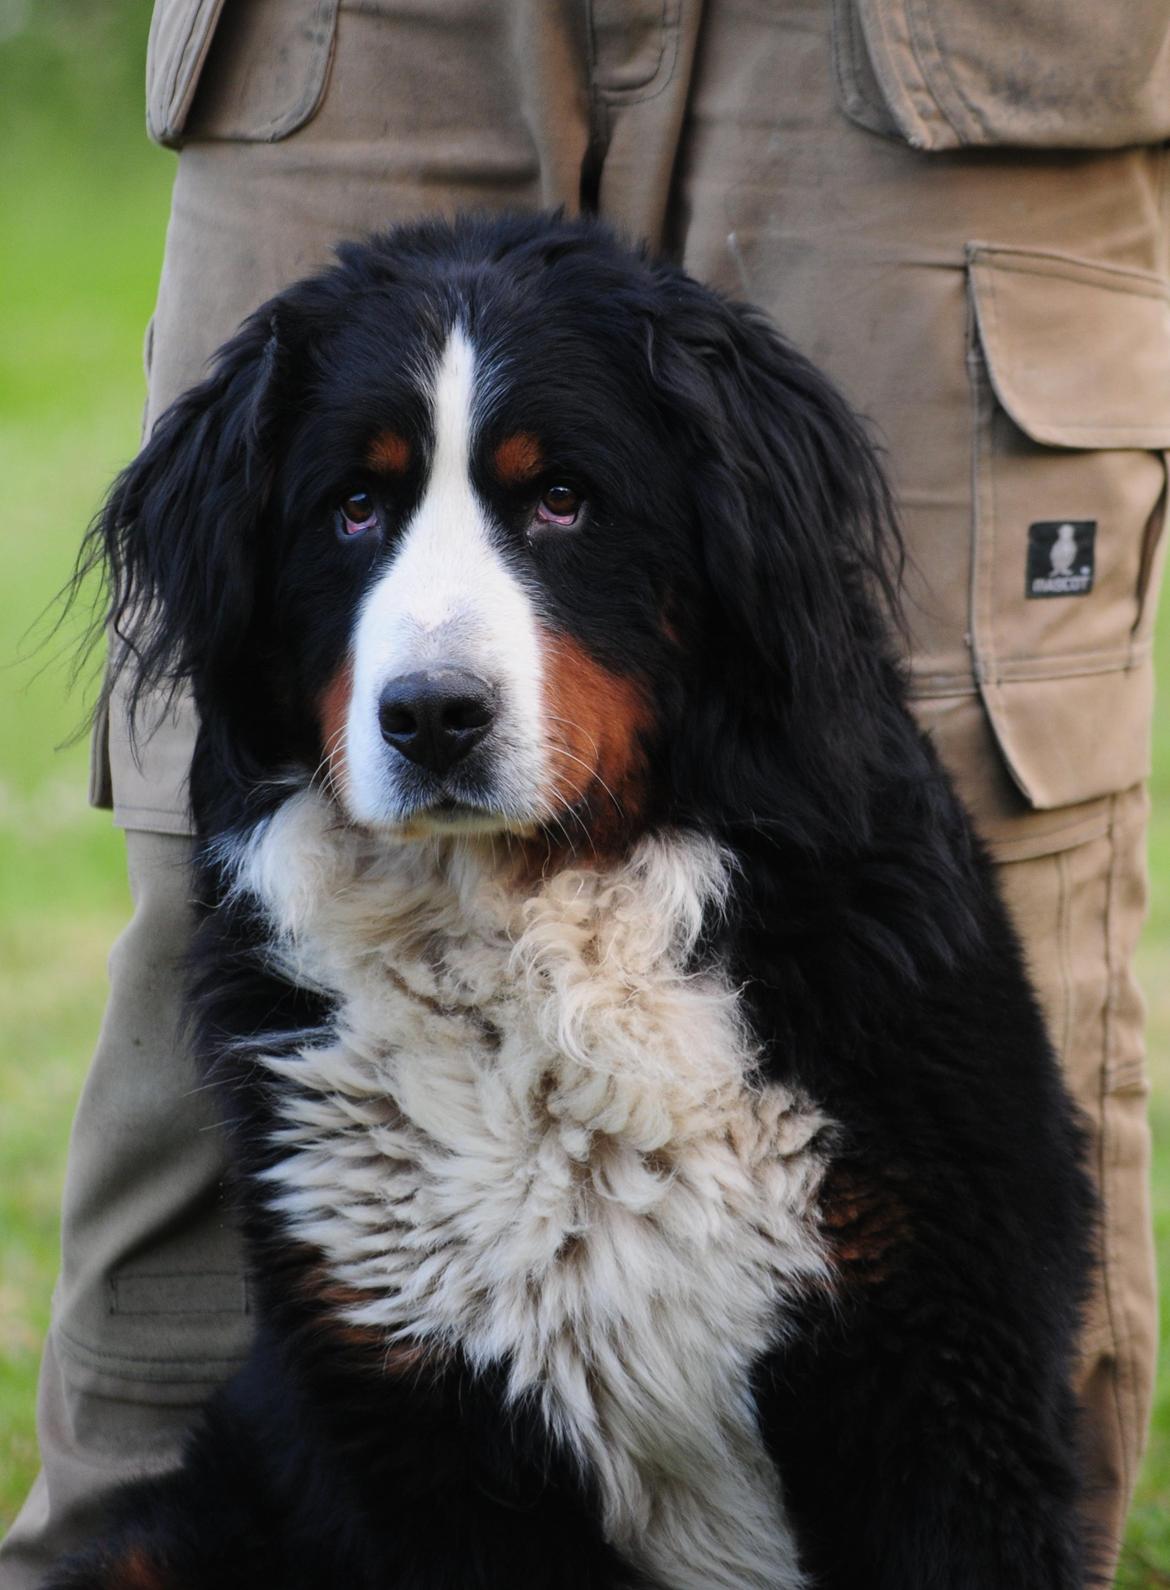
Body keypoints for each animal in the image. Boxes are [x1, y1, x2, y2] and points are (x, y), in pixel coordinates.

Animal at [50, 214, 1093, 1590]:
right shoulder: (419, 1415)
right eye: (353, 508)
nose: (434, 715)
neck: (532, 924)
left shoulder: (943, 1370)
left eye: (561, 499)